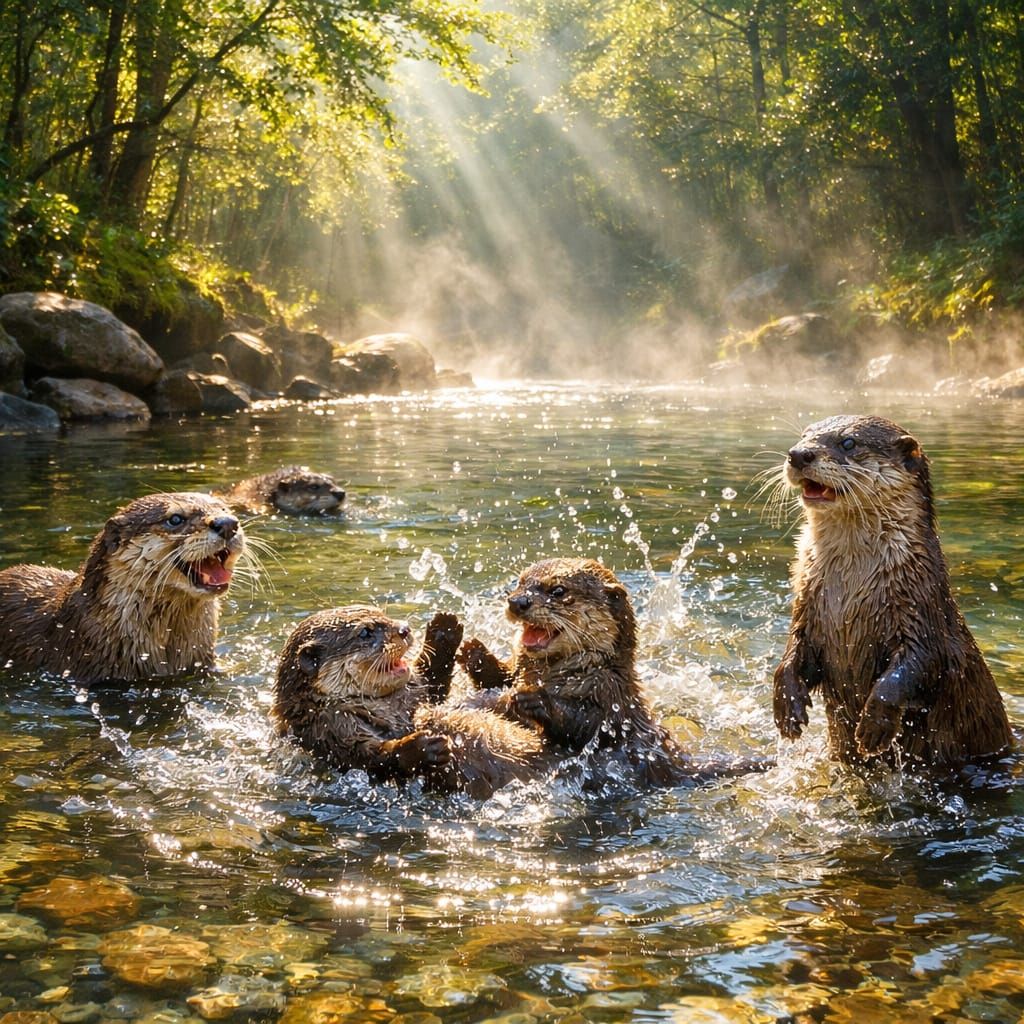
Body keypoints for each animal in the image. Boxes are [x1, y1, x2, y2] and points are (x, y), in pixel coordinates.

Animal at [273, 607, 545, 797]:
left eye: (384, 614)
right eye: (365, 632)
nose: (404, 629)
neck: (390, 709)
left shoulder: (419, 695)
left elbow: (434, 681)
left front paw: (444, 629)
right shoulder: (331, 733)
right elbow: (373, 759)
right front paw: (423, 747)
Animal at [457, 558, 725, 788]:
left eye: (558, 590)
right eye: (519, 583)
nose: (517, 602)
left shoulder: (612, 697)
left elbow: (586, 724)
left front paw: (535, 700)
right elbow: (498, 678)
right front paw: (474, 652)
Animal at [773, 414, 1013, 768]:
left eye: (848, 442)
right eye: (804, 435)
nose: (798, 454)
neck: (851, 586)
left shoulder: (922, 608)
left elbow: (920, 663)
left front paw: (874, 725)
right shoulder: (807, 602)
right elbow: (793, 650)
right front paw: (786, 704)